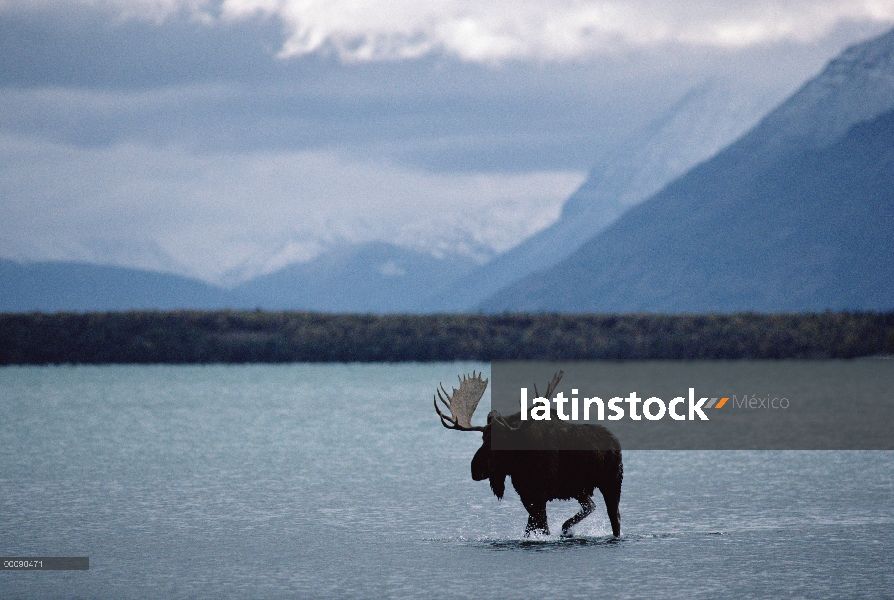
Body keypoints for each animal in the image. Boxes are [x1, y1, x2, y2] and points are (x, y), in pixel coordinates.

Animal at [436, 370, 624, 536]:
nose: (475, 469)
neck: (520, 462)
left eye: (501, 440)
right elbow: (531, 528)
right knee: (590, 506)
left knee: (615, 518)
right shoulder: (526, 494)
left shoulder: (540, 495)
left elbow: (542, 527)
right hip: (579, 489)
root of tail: (616, 442)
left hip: (612, 482)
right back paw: (566, 528)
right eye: (483, 437)